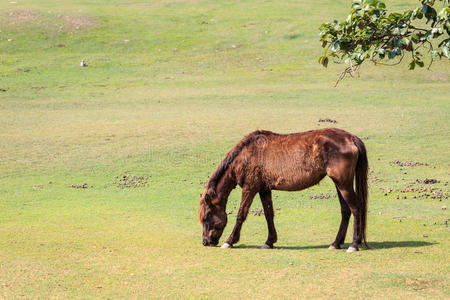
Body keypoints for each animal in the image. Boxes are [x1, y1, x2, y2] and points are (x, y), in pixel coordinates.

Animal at [199, 127, 368, 252]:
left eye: (207, 216)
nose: (205, 242)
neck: (248, 154)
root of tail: (350, 138)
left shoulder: (250, 188)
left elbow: (241, 214)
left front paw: (230, 241)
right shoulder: (264, 189)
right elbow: (269, 214)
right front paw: (269, 241)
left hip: (343, 184)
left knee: (356, 208)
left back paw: (354, 244)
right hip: (340, 184)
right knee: (346, 211)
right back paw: (336, 243)